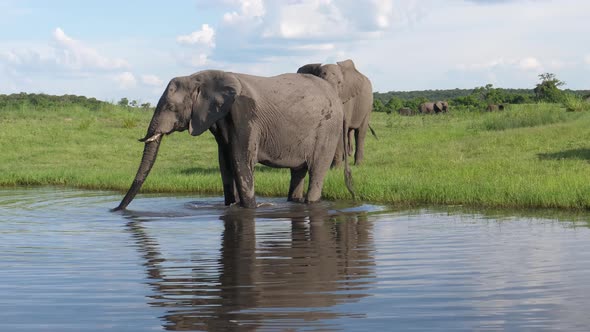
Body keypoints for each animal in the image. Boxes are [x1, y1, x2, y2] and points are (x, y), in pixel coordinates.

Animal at [115, 70, 356, 210]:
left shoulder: (244, 114)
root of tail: (337, 98)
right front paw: (232, 205)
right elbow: (225, 162)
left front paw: (250, 208)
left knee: (317, 170)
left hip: (327, 129)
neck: (201, 78)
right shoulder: (220, 119)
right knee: (298, 172)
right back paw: (293, 202)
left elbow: (241, 161)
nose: (115, 210)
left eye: (171, 107)